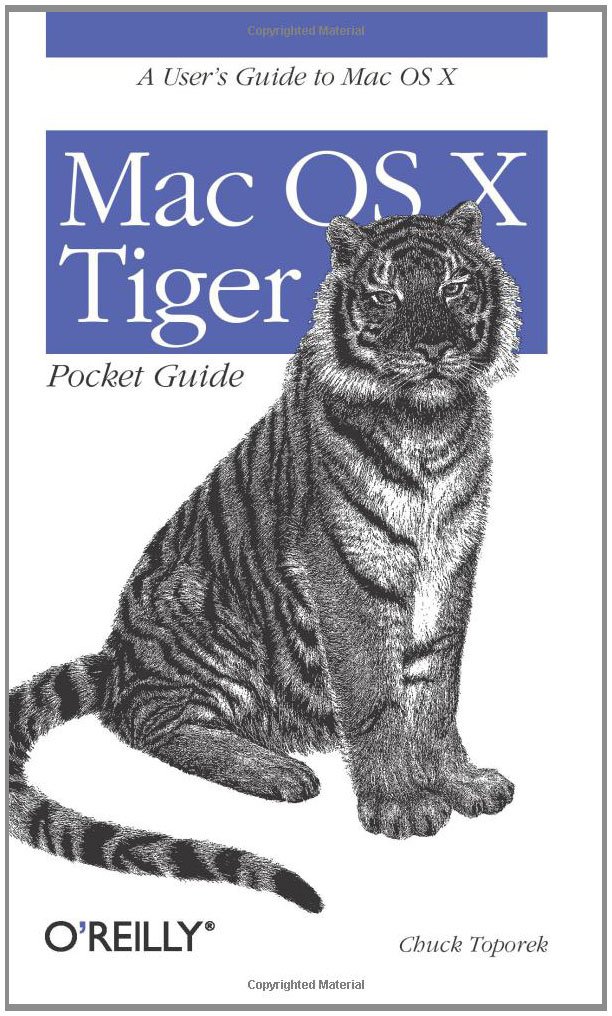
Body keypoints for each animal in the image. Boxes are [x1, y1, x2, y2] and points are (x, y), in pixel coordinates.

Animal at [9, 200, 520, 913]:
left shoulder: (450, 566)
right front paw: (401, 804)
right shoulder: (346, 577)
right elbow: (376, 698)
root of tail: (118, 653)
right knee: (147, 719)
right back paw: (278, 770)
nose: (432, 350)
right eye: (385, 297)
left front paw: (459, 780)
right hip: (193, 605)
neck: (429, 425)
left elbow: (437, 690)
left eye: (453, 289)